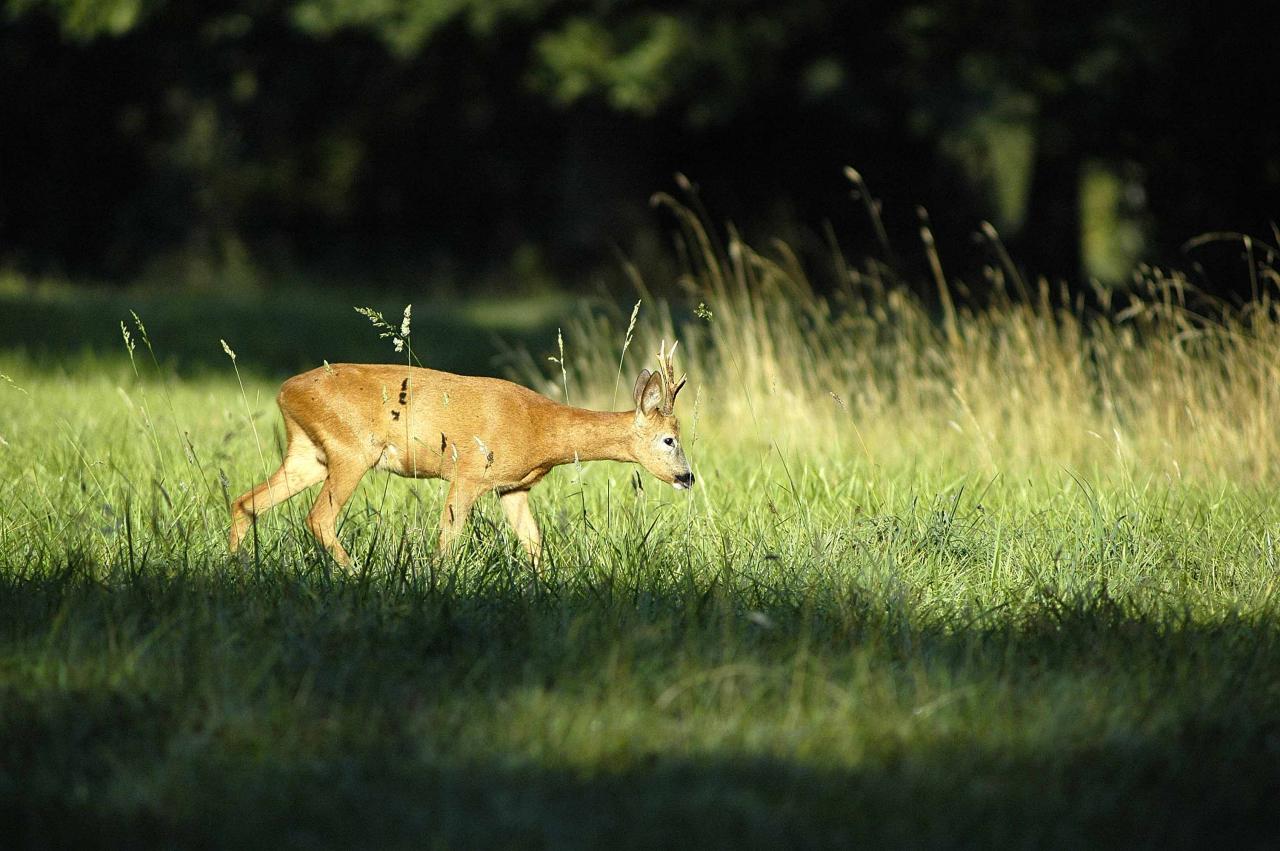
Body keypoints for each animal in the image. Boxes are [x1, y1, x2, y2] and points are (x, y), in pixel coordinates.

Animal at [230, 337, 691, 563]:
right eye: (670, 439)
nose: (687, 477)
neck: (541, 429)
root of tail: (284, 391)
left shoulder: (512, 487)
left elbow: (533, 544)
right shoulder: (468, 473)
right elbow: (448, 538)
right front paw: (436, 580)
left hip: (308, 452)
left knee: (246, 502)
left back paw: (237, 570)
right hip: (352, 450)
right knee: (318, 518)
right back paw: (356, 572)